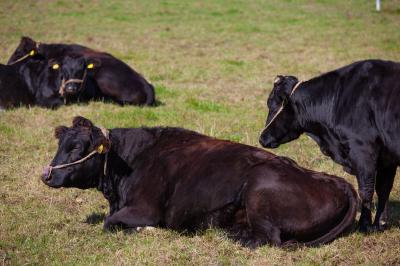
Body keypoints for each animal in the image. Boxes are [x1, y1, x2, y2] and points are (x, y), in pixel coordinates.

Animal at [42, 116, 358, 247]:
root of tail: (334, 180)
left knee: (268, 239)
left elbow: (110, 224)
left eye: (77, 147)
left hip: (259, 186)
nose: (47, 174)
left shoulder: (145, 209)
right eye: (61, 144)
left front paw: (146, 231)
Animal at [258, 59, 400, 233]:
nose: (262, 138)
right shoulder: (387, 158)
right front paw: (381, 223)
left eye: (272, 104)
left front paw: (364, 225)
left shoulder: (364, 150)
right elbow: (383, 188)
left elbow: (366, 189)